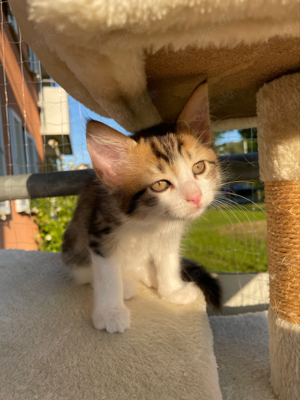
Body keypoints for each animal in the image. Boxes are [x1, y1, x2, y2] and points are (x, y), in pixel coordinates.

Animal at [61, 83, 220, 334]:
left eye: (199, 167)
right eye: (160, 185)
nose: (195, 196)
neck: (150, 221)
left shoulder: (169, 234)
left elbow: (169, 259)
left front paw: (172, 291)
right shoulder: (100, 229)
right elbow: (106, 272)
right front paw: (111, 312)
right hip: (73, 242)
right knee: (84, 270)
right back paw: (125, 284)